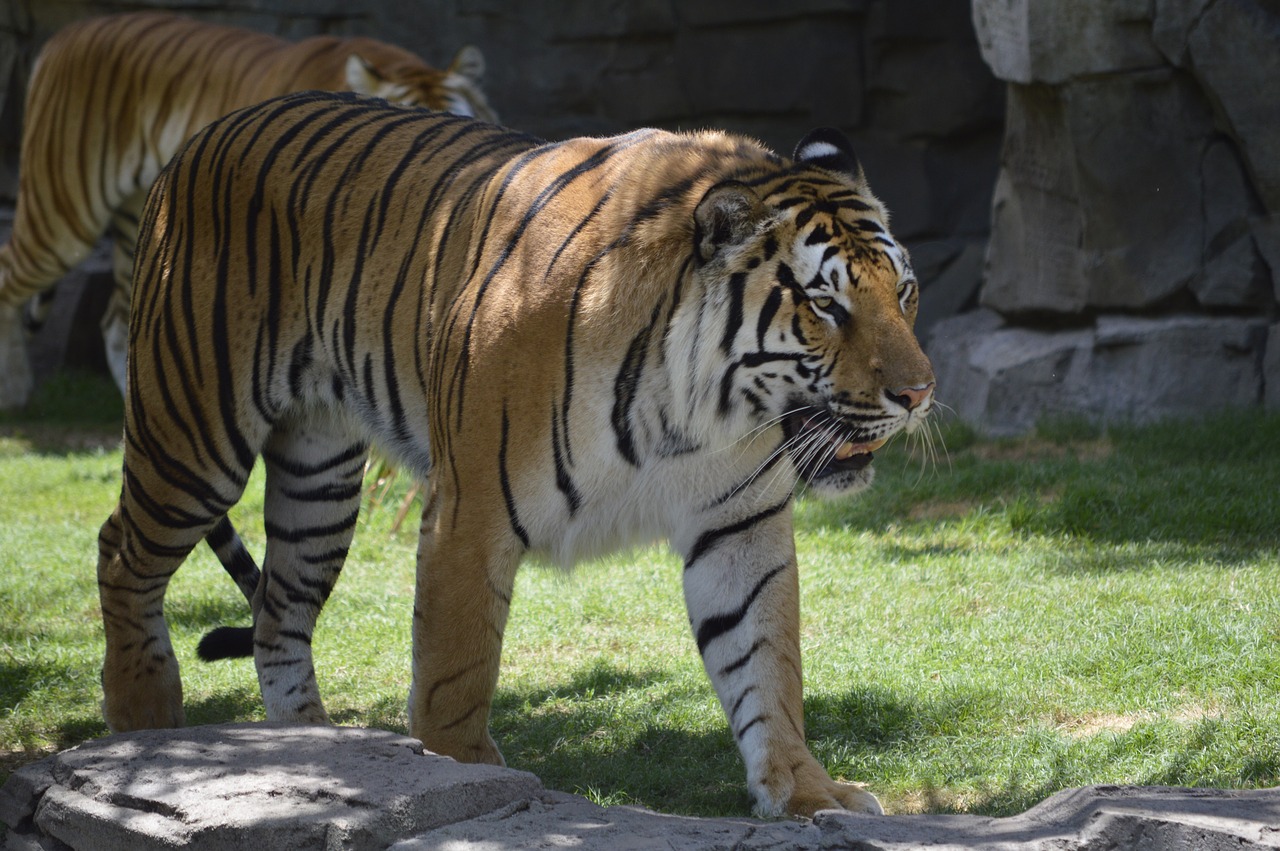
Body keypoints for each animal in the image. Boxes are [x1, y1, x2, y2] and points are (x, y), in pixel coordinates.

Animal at [99, 91, 936, 819]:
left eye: (906, 293)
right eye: (826, 306)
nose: (919, 392)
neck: (698, 407)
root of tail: (205, 135)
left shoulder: (740, 524)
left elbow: (767, 662)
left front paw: (808, 790)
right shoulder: (467, 514)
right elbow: (455, 666)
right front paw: (459, 778)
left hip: (318, 479)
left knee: (278, 612)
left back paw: (316, 754)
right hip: (195, 434)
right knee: (122, 551)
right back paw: (145, 717)